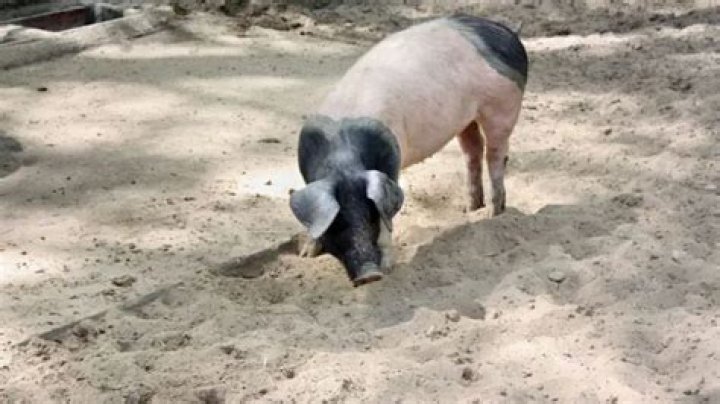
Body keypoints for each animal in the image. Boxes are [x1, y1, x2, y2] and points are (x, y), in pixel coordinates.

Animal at [290, 14, 528, 287]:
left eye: (371, 216)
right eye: (337, 224)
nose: (369, 275)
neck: (342, 160)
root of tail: (505, 31)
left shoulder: (391, 166)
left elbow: (388, 221)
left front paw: (387, 269)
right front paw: (306, 254)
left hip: (502, 107)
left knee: (496, 155)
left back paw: (492, 214)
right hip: (466, 119)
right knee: (473, 151)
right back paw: (470, 210)